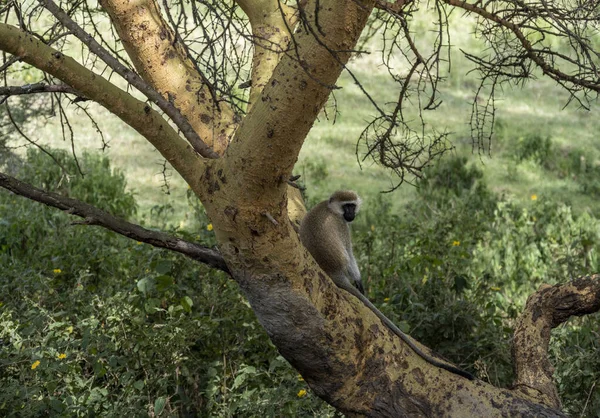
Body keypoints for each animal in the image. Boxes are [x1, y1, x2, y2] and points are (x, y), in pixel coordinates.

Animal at [300, 191, 474, 380]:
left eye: (352, 206)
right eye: (347, 206)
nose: (351, 214)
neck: (330, 208)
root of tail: (333, 273)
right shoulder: (342, 226)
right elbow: (350, 253)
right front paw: (359, 280)